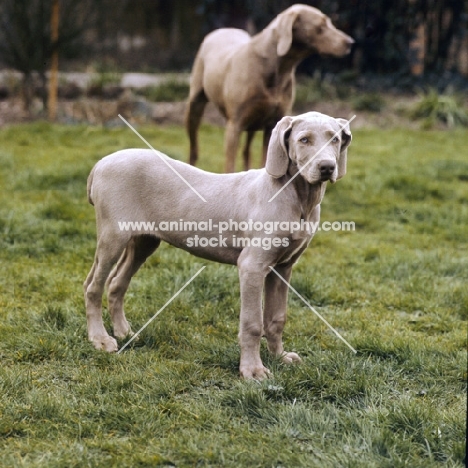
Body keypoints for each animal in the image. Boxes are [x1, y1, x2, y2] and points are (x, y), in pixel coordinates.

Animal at [185, 4, 352, 172]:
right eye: (321, 26)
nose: (350, 42)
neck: (277, 68)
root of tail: (222, 29)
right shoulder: (235, 125)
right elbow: (230, 164)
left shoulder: (273, 124)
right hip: (195, 107)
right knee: (194, 146)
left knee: (246, 150)